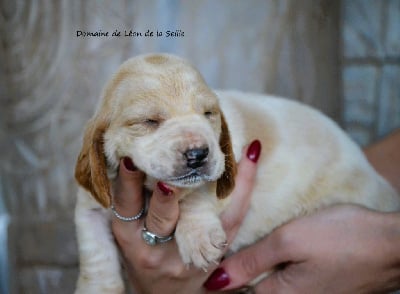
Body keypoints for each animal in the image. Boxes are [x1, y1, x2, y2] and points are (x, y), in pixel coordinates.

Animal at [75, 53, 400, 294]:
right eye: (149, 121)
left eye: (208, 114)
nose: (198, 154)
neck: (149, 186)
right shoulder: (91, 206)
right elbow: (95, 252)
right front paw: (98, 287)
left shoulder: (226, 170)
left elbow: (196, 193)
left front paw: (199, 237)